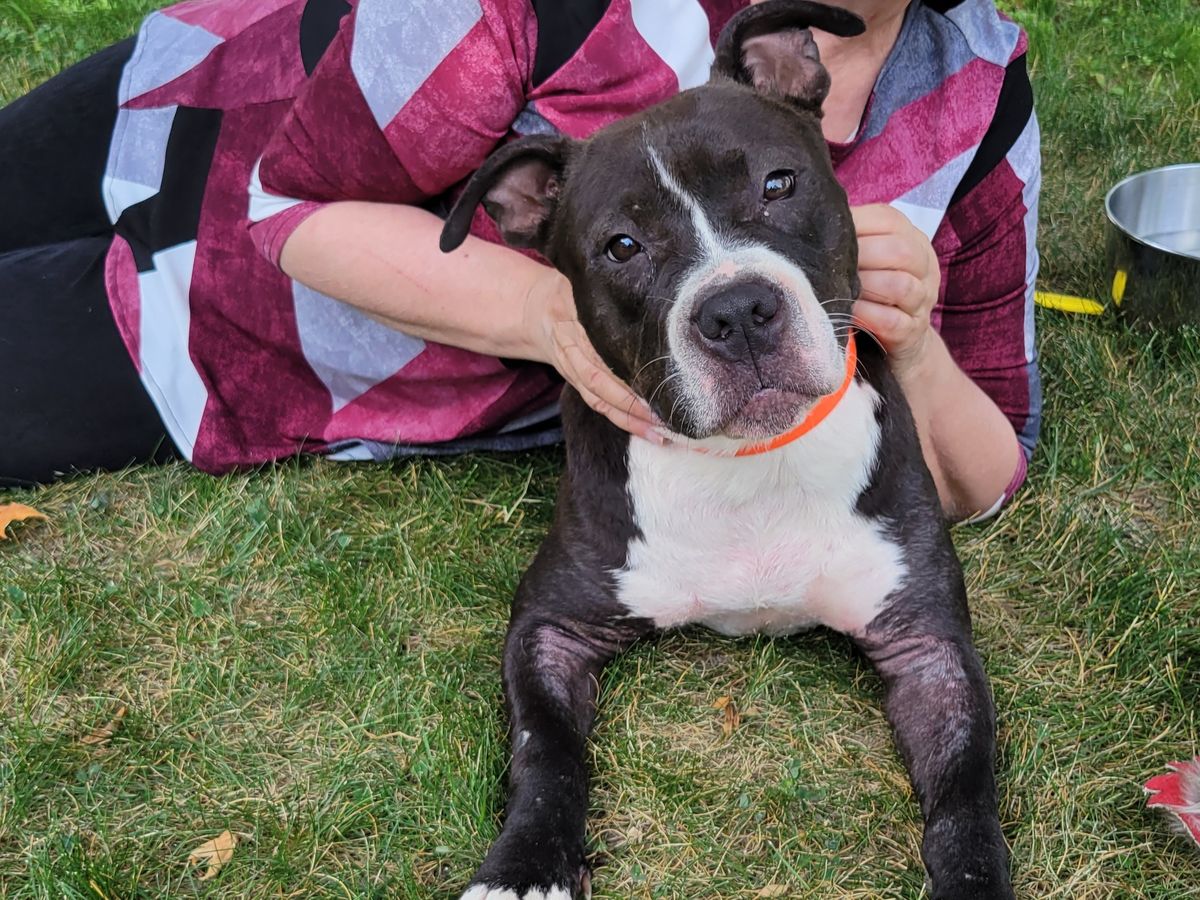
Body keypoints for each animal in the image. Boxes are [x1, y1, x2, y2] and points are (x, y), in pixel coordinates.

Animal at [439, 2, 1014, 897]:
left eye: (778, 184)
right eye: (622, 246)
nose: (739, 310)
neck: (752, 464)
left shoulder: (929, 645)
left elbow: (965, 786)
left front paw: (973, 876)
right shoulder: (550, 627)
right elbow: (547, 750)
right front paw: (524, 865)